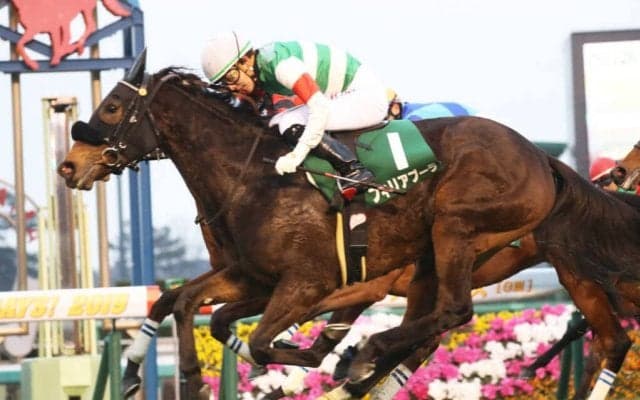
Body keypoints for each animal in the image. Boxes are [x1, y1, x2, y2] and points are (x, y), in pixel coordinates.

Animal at [57, 51, 559, 398]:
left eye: (113, 107)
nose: (68, 166)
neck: (253, 177)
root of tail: (540, 159)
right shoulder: (252, 275)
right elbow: (182, 303)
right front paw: (162, 376)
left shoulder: (313, 281)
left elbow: (256, 336)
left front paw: (292, 369)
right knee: (426, 333)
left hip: (452, 236)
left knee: (437, 324)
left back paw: (354, 366)